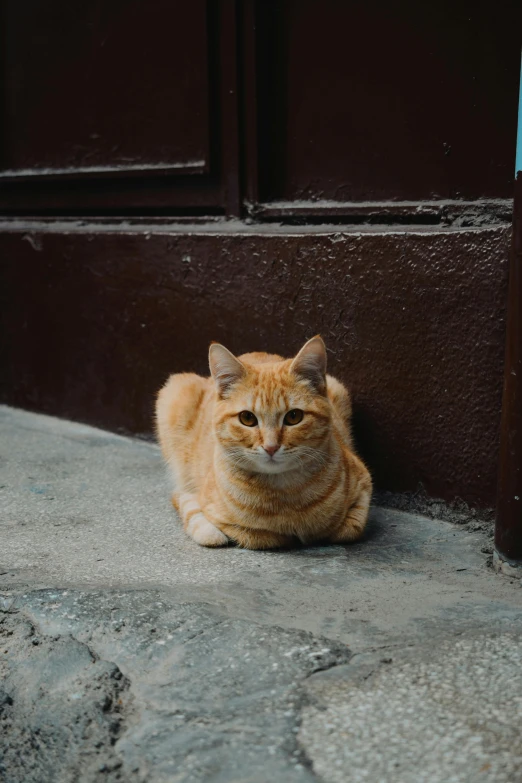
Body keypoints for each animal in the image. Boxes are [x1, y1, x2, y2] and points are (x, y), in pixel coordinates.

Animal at [154, 336, 370, 552]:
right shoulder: (224, 518)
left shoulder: (364, 485)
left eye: (294, 416)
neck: (285, 494)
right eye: (247, 418)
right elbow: (263, 537)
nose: (271, 447)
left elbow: (349, 530)